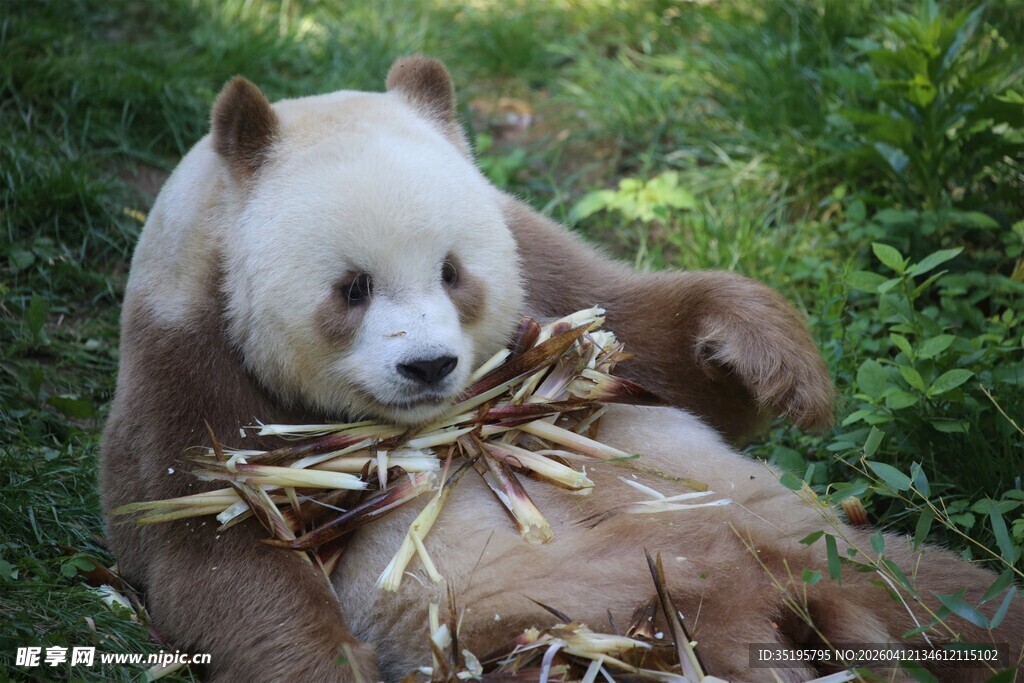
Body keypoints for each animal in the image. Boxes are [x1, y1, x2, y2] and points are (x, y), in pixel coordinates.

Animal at [100, 56, 1020, 681]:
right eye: (352, 288)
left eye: (453, 272)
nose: (430, 365)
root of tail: (797, 597)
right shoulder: (185, 361)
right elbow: (215, 547)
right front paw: (328, 661)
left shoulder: (534, 262)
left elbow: (641, 335)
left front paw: (772, 362)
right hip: (582, 621)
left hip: (818, 536)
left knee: (961, 590)